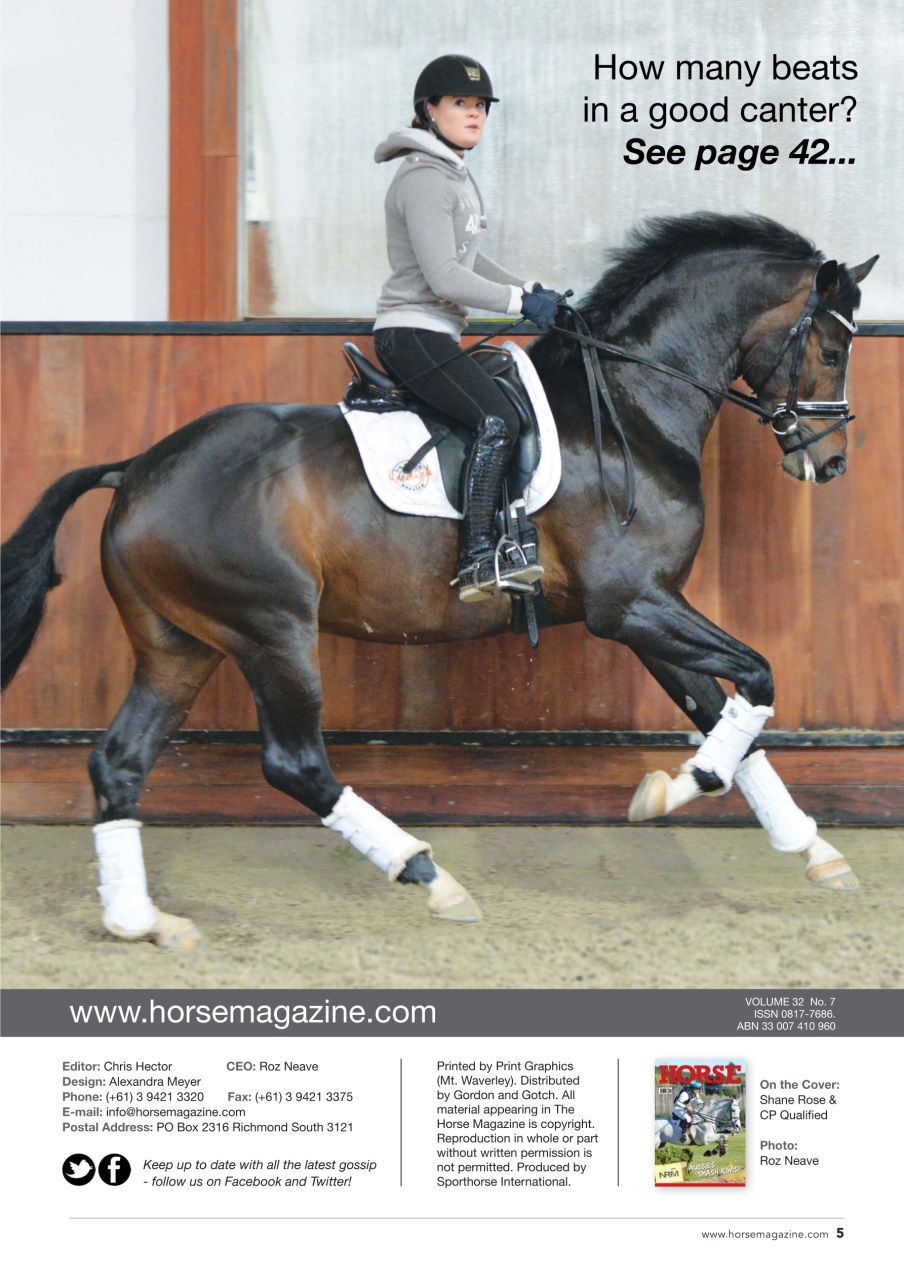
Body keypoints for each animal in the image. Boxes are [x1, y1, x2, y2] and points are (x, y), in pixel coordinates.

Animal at [1, 213, 877, 948]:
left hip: (180, 645)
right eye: (832, 350)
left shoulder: (650, 609)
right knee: (294, 763)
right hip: (270, 631)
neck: (630, 405)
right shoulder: (630, 605)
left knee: (120, 762)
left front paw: (808, 847)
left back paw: (142, 921)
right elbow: (756, 681)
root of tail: (139, 469)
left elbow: (724, 711)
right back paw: (429, 875)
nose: (831, 462)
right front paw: (682, 785)